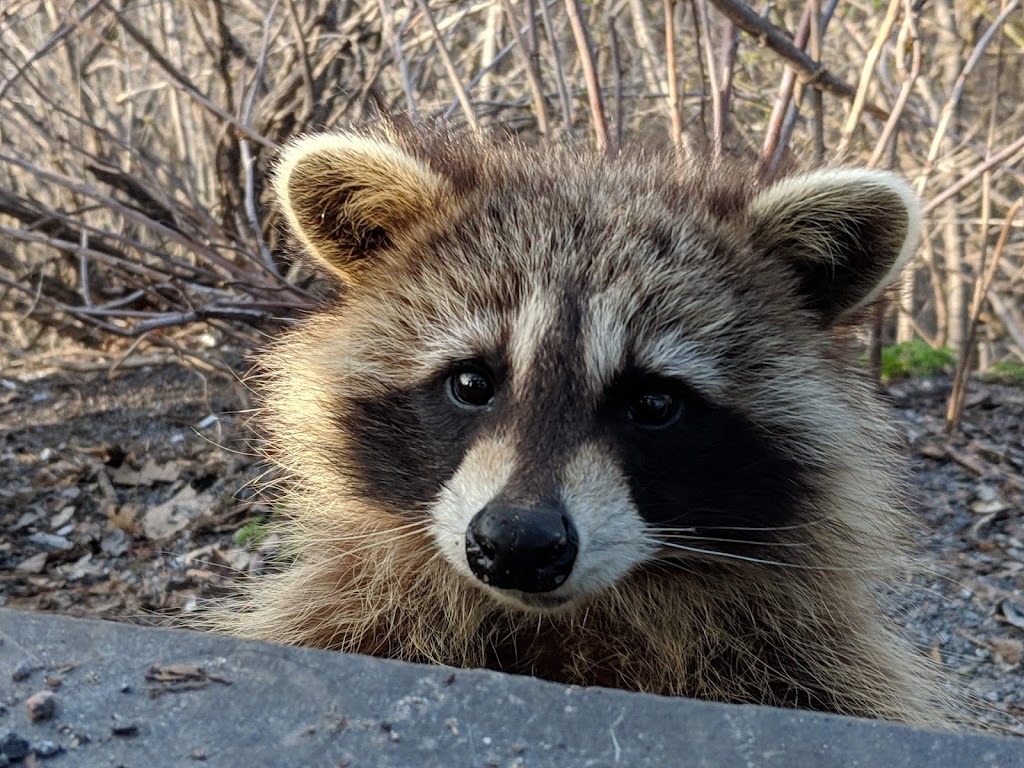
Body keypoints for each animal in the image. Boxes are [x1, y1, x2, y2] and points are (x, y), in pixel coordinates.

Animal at [220, 121, 946, 729]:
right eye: (471, 383)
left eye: (654, 404)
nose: (518, 544)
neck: (569, 625)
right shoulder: (353, 617)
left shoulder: (800, 663)